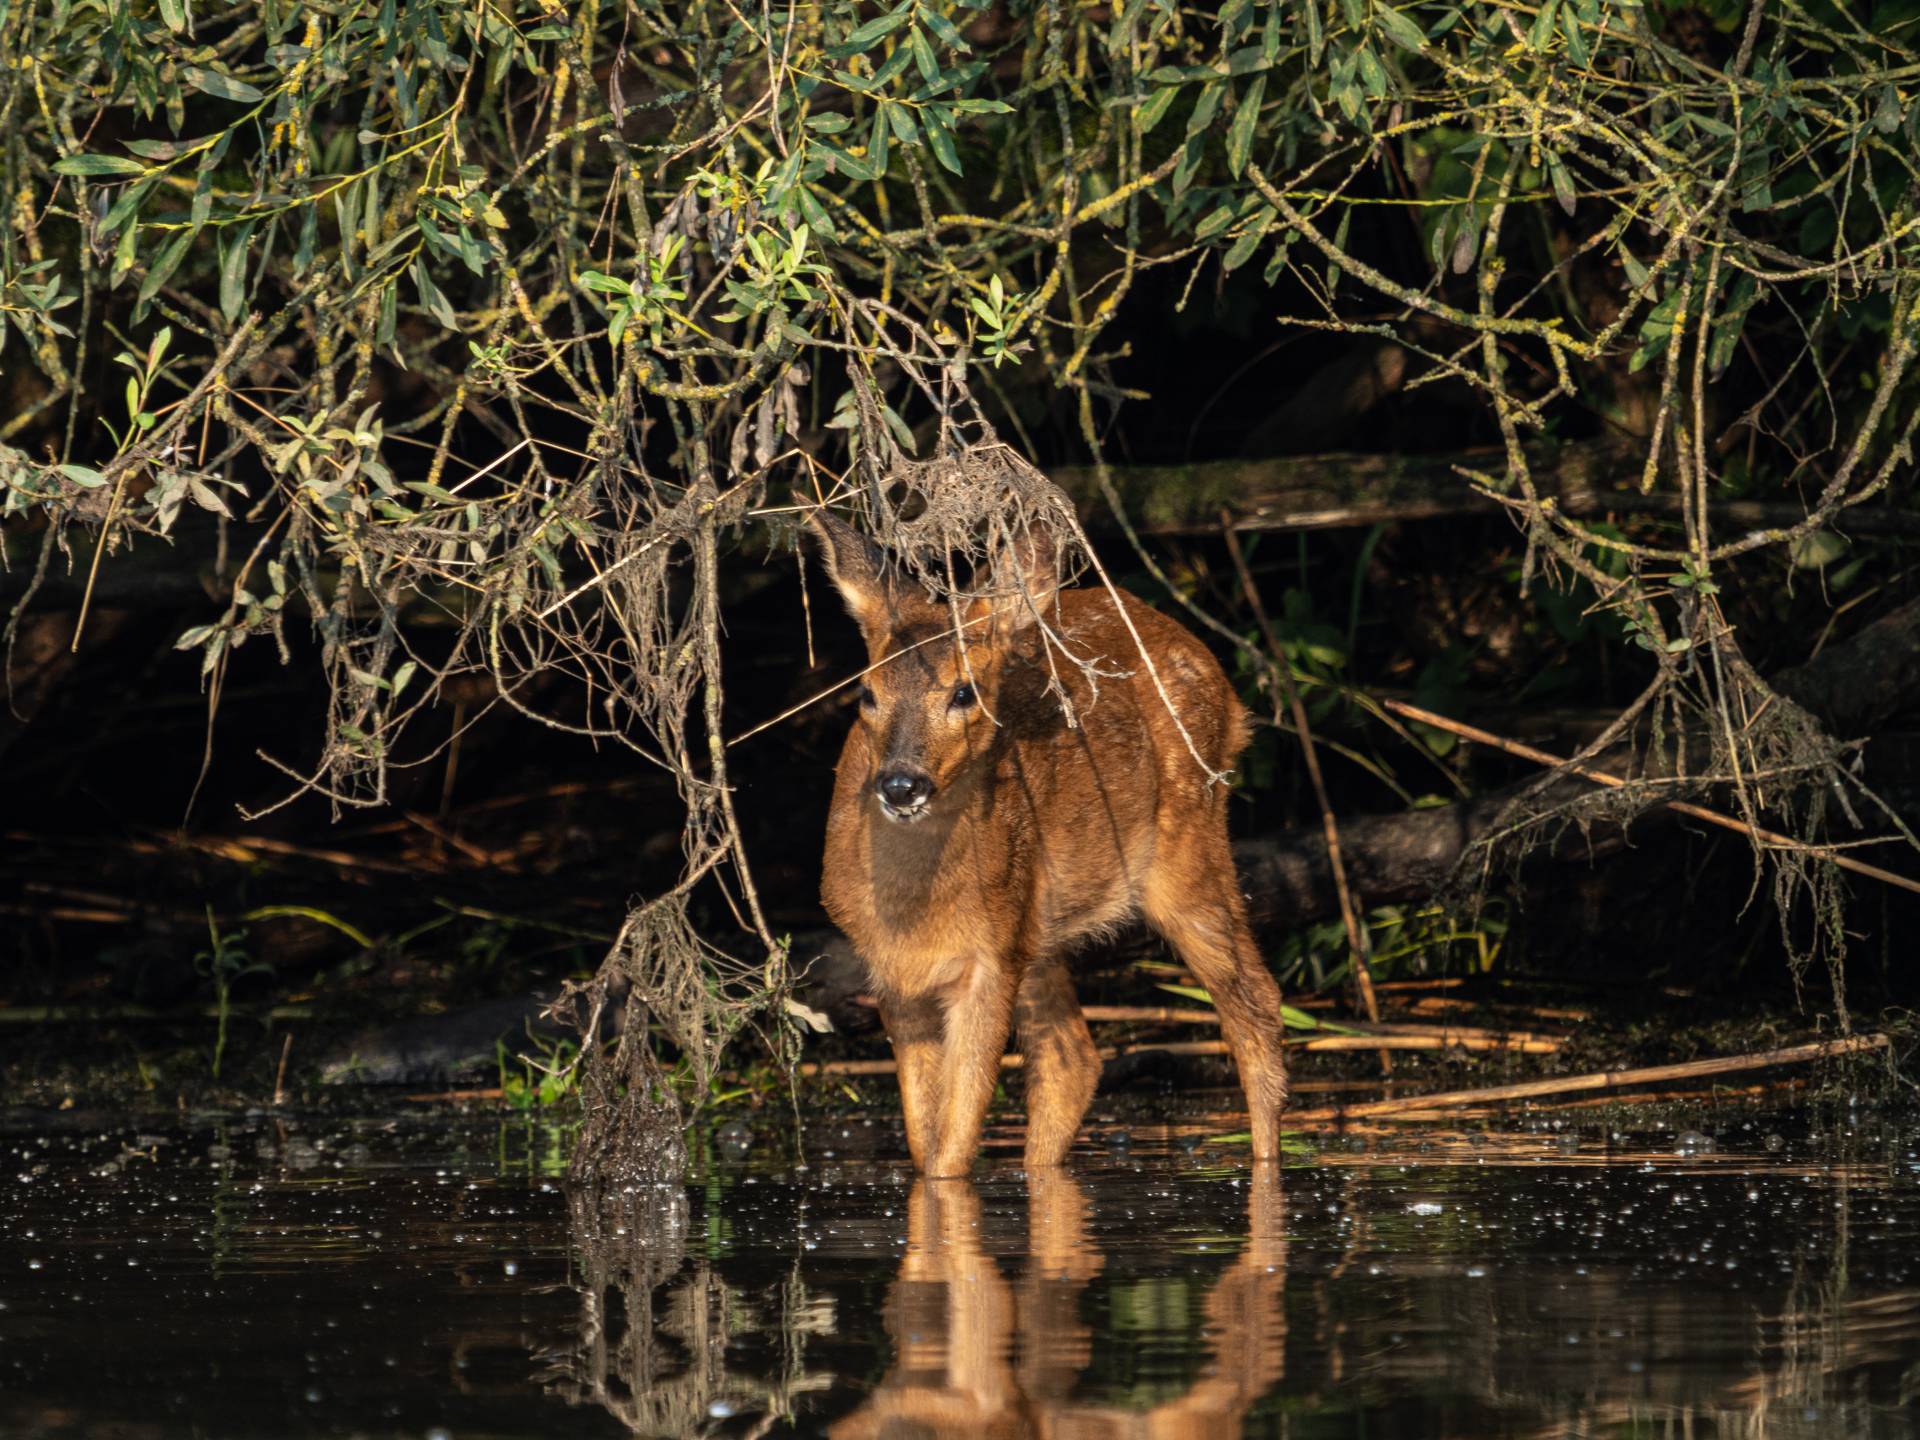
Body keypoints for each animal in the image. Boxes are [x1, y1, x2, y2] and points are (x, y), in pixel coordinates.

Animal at [810, 514, 1290, 1175]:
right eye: (866, 694)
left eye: (964, 692)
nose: (901, 783)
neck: (916, 911)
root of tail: (1221, 678)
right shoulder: (892, 971)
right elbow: (926, 1139)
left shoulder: (989, 959)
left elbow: (953, 1145)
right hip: (1039, 924)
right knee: (1074, 1057)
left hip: (1186, 844)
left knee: (1254, 1001)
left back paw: (1268, 1166)